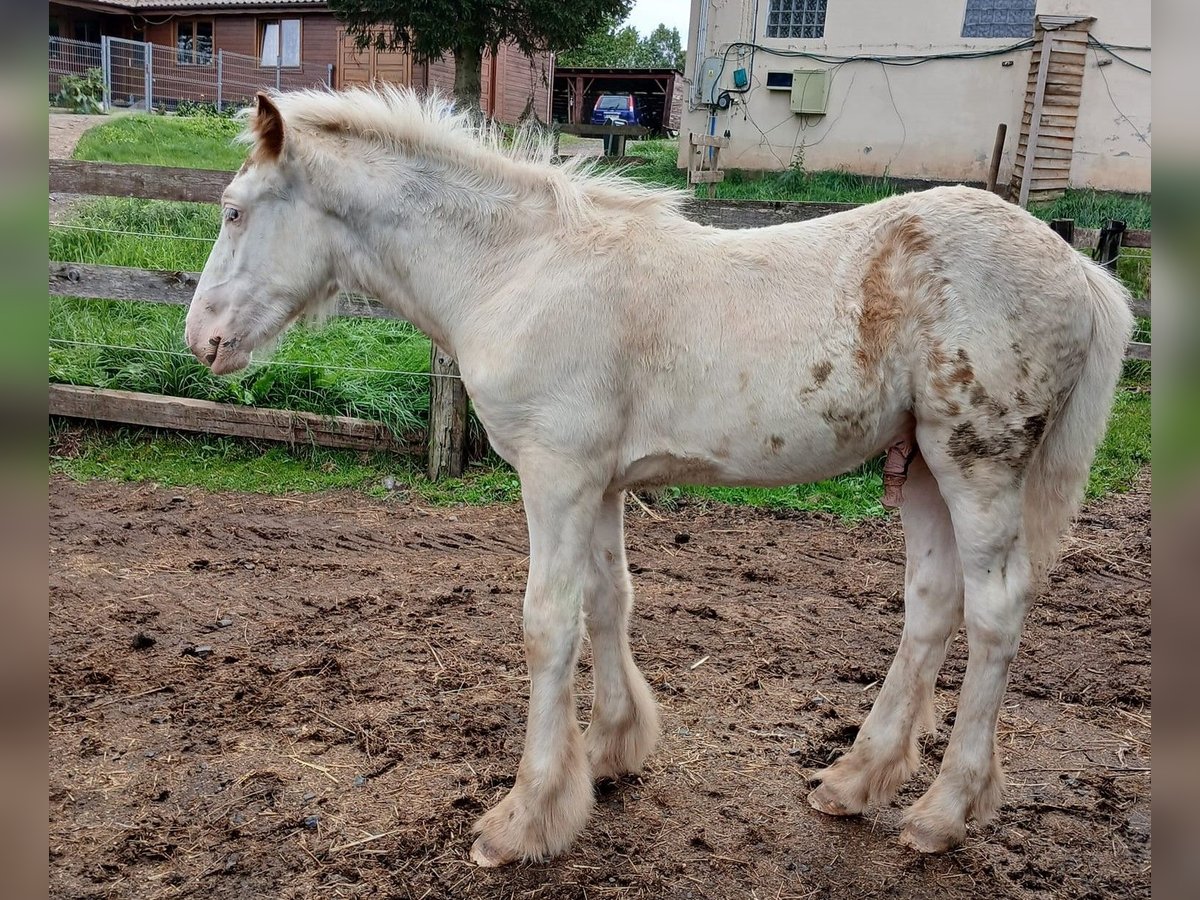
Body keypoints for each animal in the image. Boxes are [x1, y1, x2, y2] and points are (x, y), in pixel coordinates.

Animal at [182, 90, 1128, 868]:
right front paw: (607, 754)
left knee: (995, 611)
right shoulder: (599, 481)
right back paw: (853, 781)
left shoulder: (556, 475)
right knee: (932, 605)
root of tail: (1081, 269)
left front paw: (524, 817)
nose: (202, 341)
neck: (518, 270)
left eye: (234, 211)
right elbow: (610, 603)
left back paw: (942, 812)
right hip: (925, 464)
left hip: (978, 462)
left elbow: (547, 626)